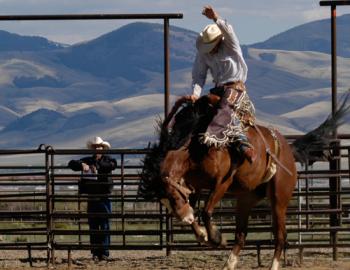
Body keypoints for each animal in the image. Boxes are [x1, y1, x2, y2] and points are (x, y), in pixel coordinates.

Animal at [138, 93, 348, 270]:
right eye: (163, 201)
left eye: (173, 196)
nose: (184, 218)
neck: (194, 145)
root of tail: (288, 149)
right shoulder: (195, 186)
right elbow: (196, 209)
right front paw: (203, 235)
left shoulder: (222, 182)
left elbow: (206, 211)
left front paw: (216, 238)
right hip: (246, 199)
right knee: (241, 236)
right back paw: (228, 265)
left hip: (279, 199)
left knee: (280, 237)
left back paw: (272, 266)